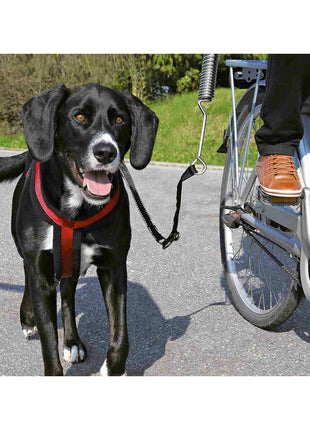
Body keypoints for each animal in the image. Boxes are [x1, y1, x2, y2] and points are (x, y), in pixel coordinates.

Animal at [0, 82, 159, 374]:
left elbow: (120, 333)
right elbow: (48, 341)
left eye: (120, 120)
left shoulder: (114, 266)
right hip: (26, 250)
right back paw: (28, 317)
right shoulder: (41, 269)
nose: (106, 152)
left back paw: (72, 342)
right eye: (80, 117)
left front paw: (113, 370)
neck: (77, 209)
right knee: (28, 276)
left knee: (67, 296)